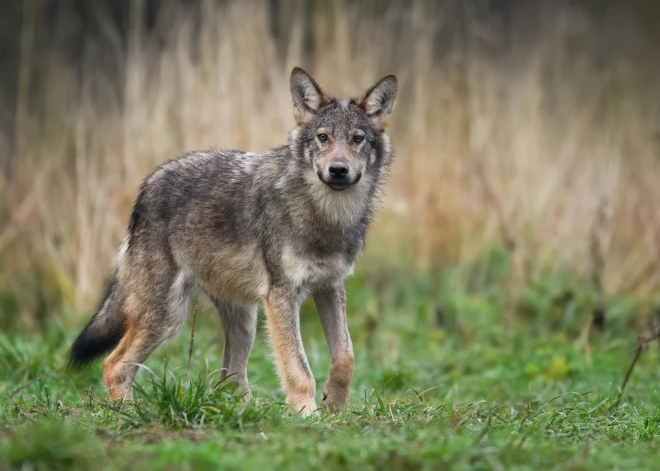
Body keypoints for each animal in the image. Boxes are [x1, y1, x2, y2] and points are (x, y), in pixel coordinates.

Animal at [68, 65, 398, 412]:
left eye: (357, 139)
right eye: (323, 137)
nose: (338, 170)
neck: (326, 216)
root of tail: (147, 187)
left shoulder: (330, 286)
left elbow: (346, 357)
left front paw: (334, 406)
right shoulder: (282, 296)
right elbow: (299, 369)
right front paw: (307, 413)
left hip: (244, 321)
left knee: (229, 379)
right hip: (168, 317)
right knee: (115, 364)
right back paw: (129, 413)